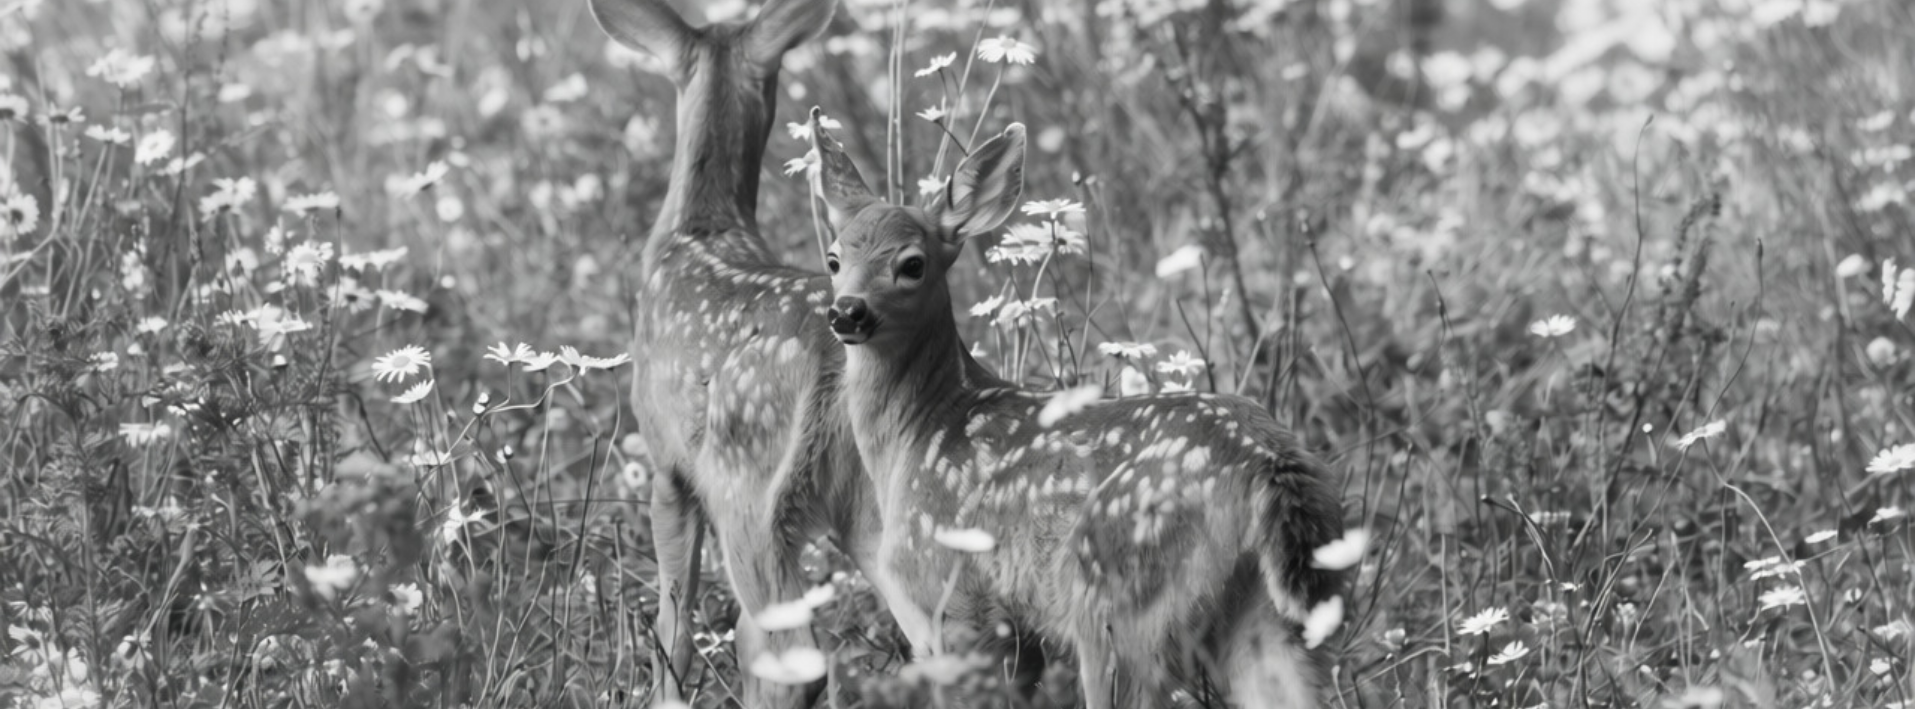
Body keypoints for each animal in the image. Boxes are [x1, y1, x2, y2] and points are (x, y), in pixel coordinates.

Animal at [807, 108, 1350, 708]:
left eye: (912, 264)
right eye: (833, 258)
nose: (847, 311)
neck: (924, 430)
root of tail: (1268, 462)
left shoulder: (951, 603)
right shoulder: (1012, 633)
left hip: (1113, 601)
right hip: (1267, 617)